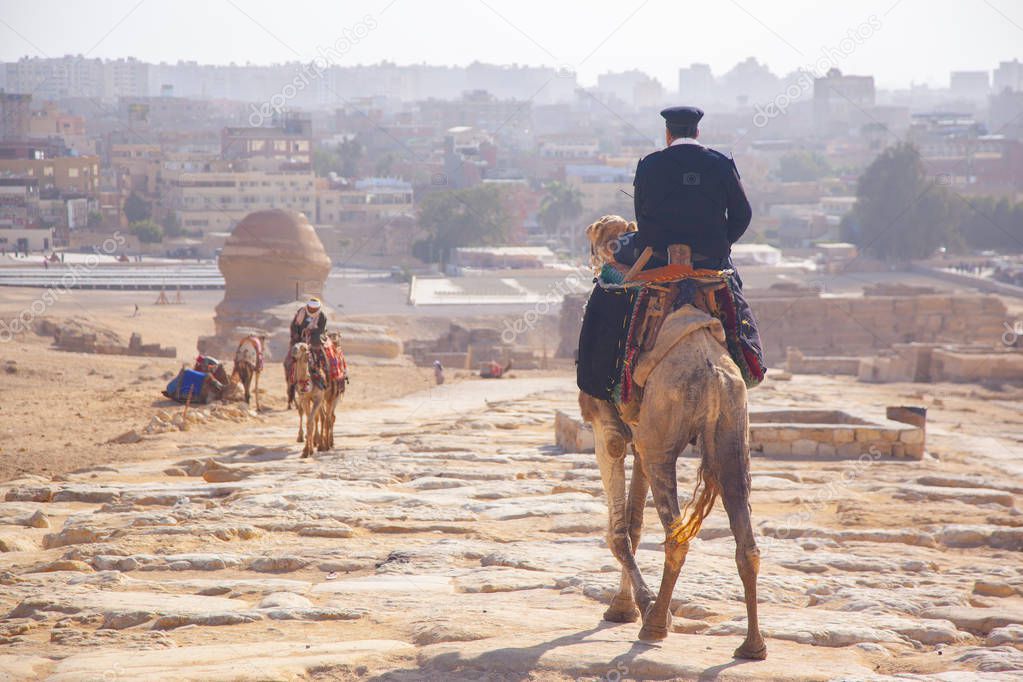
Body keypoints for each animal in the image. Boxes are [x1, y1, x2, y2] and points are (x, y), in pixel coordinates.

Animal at [581, 214, 765, 662]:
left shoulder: (608, 426)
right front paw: (624, 605)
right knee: (746, 539)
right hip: (732, 435)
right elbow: (632, 524)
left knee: (677, 535)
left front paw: (636, 606)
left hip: (666, 440)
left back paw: (656, 625)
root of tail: (713, 375)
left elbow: (619, 532)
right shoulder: (641, 435)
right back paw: (752, 646)